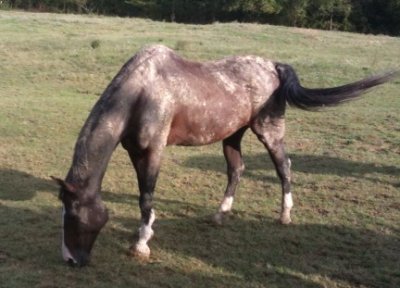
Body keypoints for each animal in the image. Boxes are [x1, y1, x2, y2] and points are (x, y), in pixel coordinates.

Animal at [50, 44, 396, 266]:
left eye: (74, 215)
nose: (70, 260)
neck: (142, 92)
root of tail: (273, 66)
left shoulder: (153, 152)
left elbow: (146, 198)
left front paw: (141, 245)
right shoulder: (135, 151)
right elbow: (143, 196)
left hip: (269, 131)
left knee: (283, 166)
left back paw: (285, 215)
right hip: (233, 134)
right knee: (237, 170)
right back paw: (220, 214)